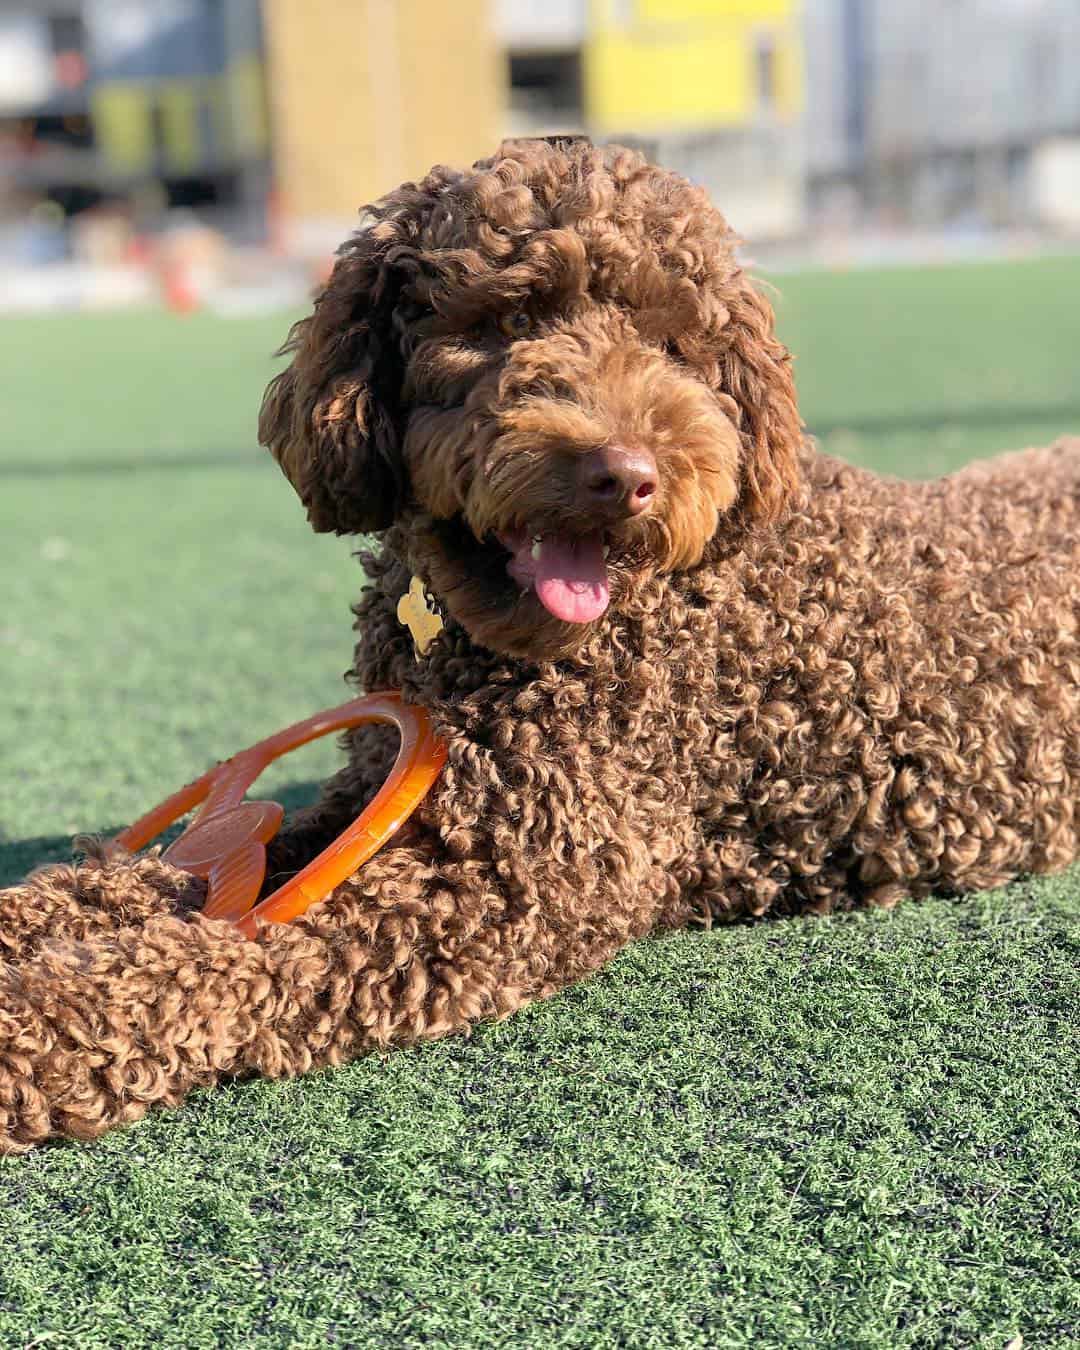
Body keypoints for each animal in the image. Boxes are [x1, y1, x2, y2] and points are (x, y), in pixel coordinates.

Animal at [2, 134, 1080, 1150]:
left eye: (674, 343)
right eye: (505, 322)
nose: (625, 475)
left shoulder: (507, 887)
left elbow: (227, 957)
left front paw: (37, 1022)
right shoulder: (371, 801)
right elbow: (165, 873)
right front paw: (39, 919)